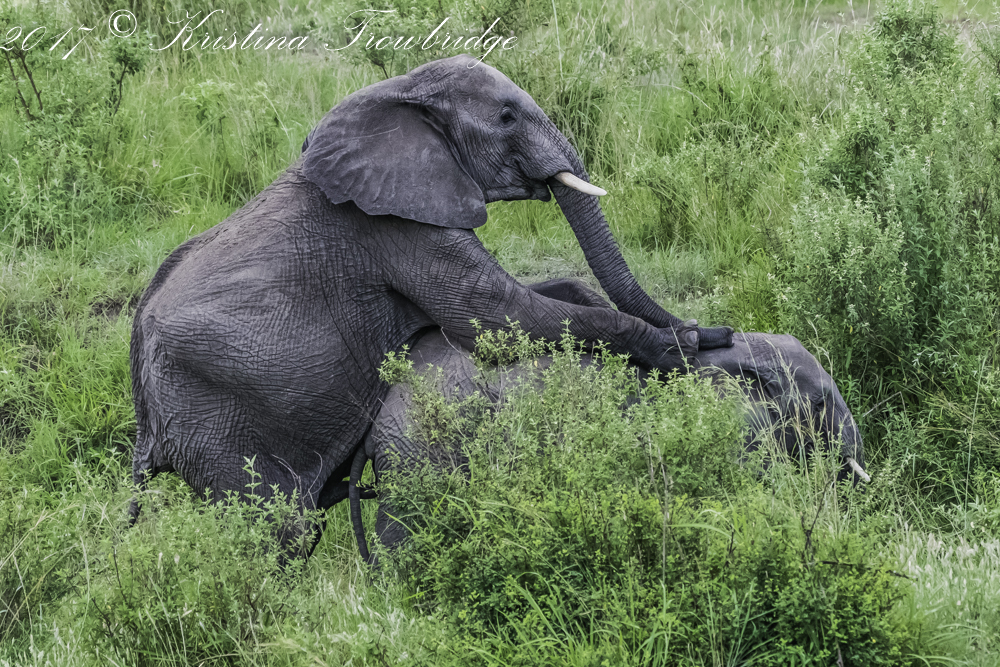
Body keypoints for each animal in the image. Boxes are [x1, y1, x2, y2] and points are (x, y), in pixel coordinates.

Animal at [128, 55, 736, 552]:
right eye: (506, 118)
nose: (718, 328)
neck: (402, 90)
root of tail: (144, 422)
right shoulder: (395, 226)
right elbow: (495, 318)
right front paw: (681, 346)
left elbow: (542, 298)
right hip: (215, 421)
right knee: (282, 534)